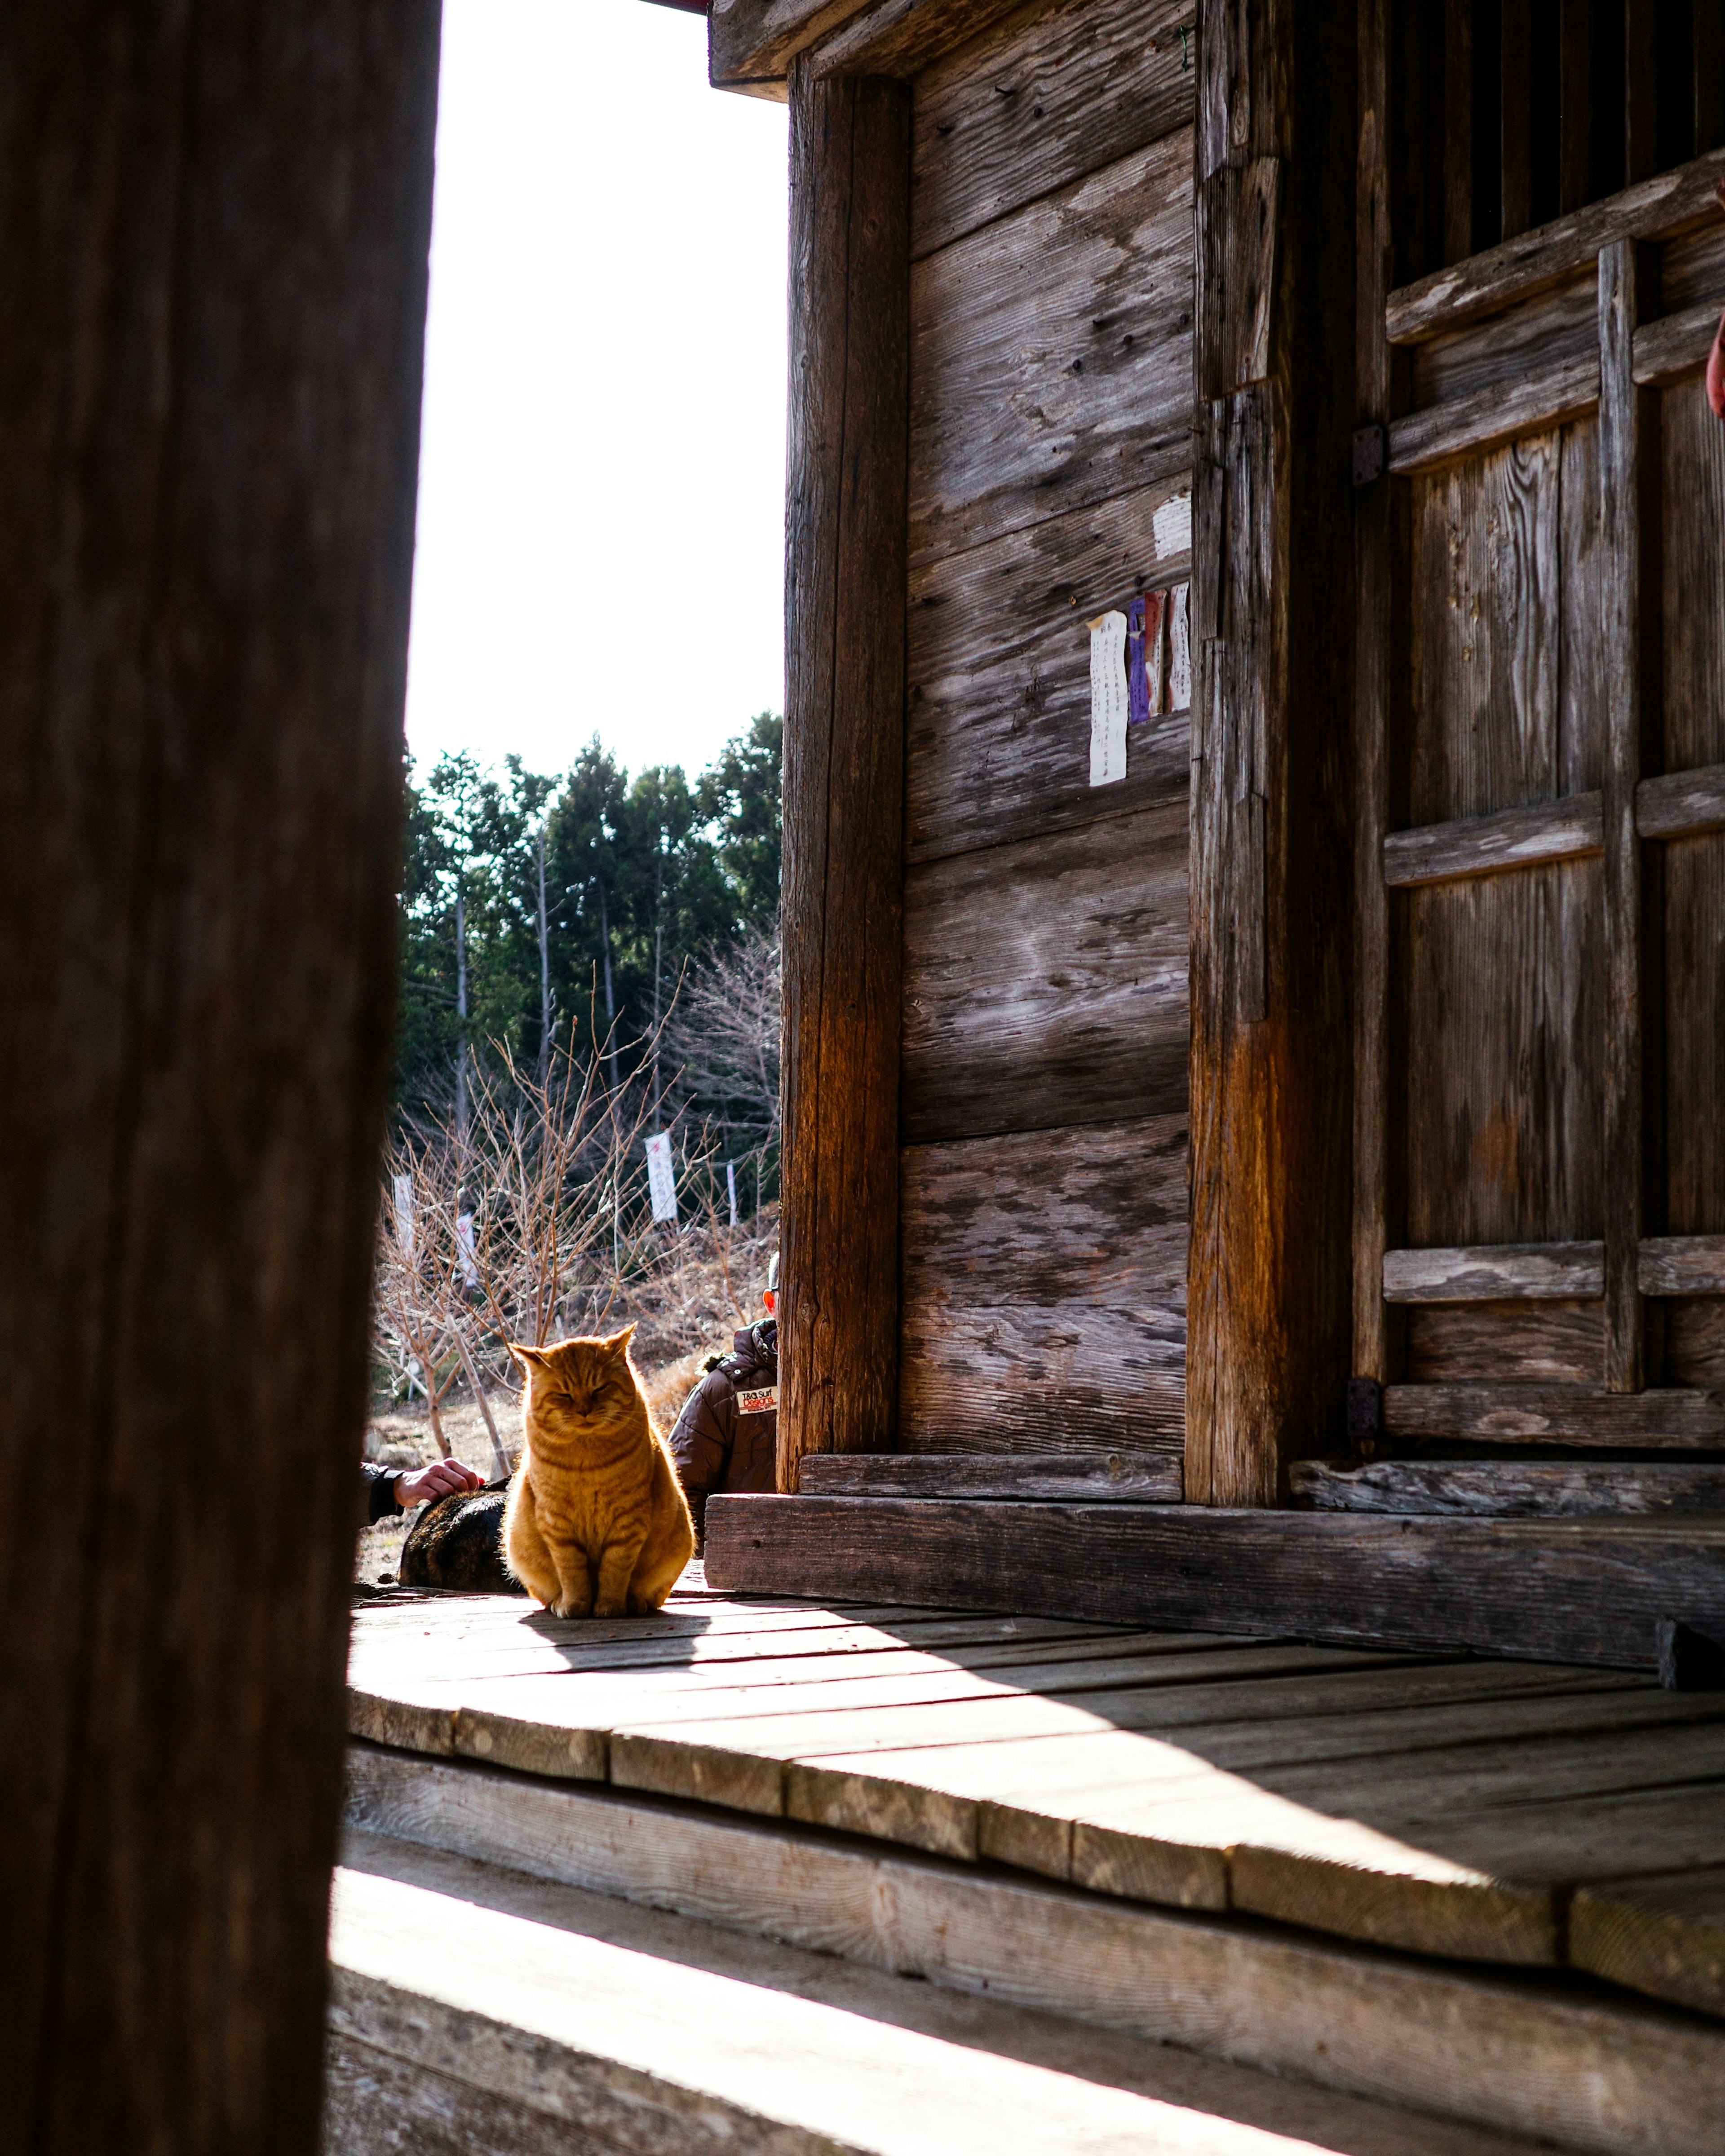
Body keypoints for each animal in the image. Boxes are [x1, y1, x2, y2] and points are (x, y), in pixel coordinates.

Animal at [502, 1328, 690, 1621]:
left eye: (600, 1389)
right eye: (564, 1395)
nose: (584, 1411)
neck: (587, 1462)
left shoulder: (628, 1519)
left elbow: (614, 1568)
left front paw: (610, 1606)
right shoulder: (557, 1523)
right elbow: (571, 1570)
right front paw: (575, 1605)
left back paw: (634, 1603)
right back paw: (558, 1602)